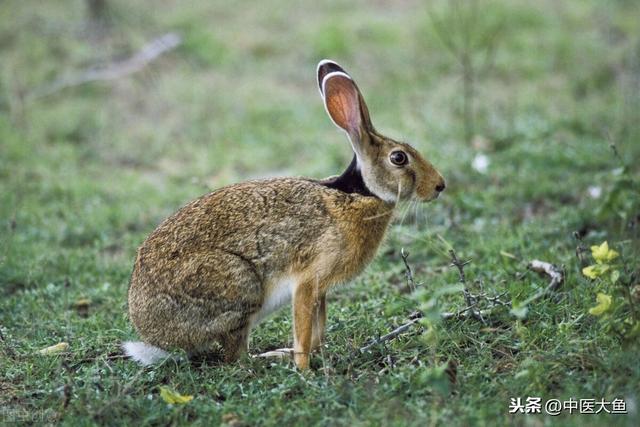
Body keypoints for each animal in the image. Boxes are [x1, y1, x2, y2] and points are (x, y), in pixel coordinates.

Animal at [125, 58, 444, 370]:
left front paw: (314, 356)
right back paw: (271, 358)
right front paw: (303, 368)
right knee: (236, 356)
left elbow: (319, 328)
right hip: (239, 286)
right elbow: (304, 327)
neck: (359, 194)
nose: (440, 186)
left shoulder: (321, 289)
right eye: (398, 158)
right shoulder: (308, 280)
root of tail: (154, 337)